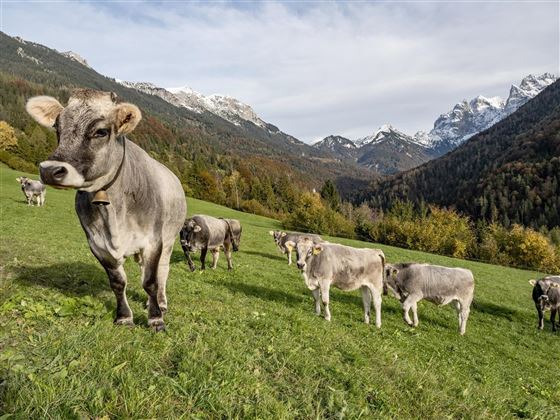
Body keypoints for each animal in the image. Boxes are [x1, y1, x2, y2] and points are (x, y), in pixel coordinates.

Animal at [26, 89, 186, 332]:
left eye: (101, 131)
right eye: (57, 127)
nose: (50, 171)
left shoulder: (153, 241)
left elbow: (150, 281)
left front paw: (156, 319)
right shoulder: (97, 244)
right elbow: (118, 282)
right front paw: (124, 317)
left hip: (169, 239)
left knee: (162, 272)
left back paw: (161, 302)